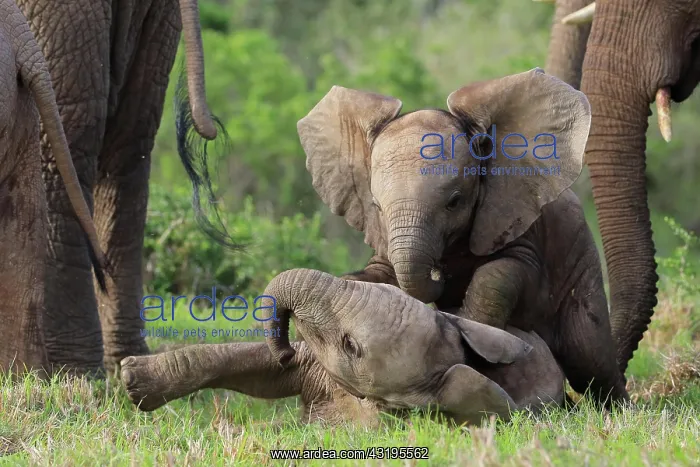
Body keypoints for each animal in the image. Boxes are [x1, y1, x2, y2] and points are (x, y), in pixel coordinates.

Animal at [295, 68, 630, 407]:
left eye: (455, 201)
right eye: (376, 205)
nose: (439, 274)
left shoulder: (516, 219)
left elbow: (503, 273)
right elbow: (376, 275)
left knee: (589, 356)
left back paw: (617, 406)